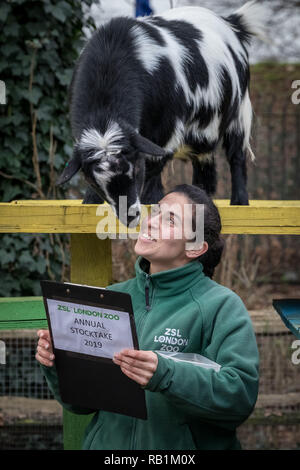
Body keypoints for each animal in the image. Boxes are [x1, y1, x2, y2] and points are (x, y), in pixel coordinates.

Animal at [56, 0, 268, 227]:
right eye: (94, 182)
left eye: (135, 170)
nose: (130, 216)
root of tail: (232, 23)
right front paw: (88, 202)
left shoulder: (166, 129)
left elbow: (155, 162)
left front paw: (153, 199)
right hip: (203, 135)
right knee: (205, 168)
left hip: (239, 113)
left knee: (236, 155)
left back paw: (239, 201)